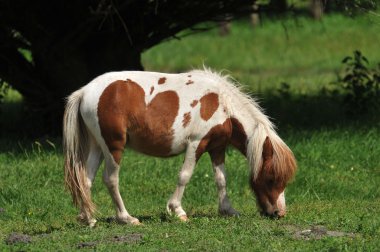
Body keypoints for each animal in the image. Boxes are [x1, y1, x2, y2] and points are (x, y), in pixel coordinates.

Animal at [63, 68, 296, 226]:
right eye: (271, 178)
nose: (279, 213)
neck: (223, 104)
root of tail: (84, 91)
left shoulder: (217, 148)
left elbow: (221, 179)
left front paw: (228, 210)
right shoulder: (196, 144)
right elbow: (184, 176)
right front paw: (177, 210)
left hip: (98, 147)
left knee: (86, 180)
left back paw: (88, 218)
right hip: (113, 147)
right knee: (110, 179)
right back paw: (126, 218)